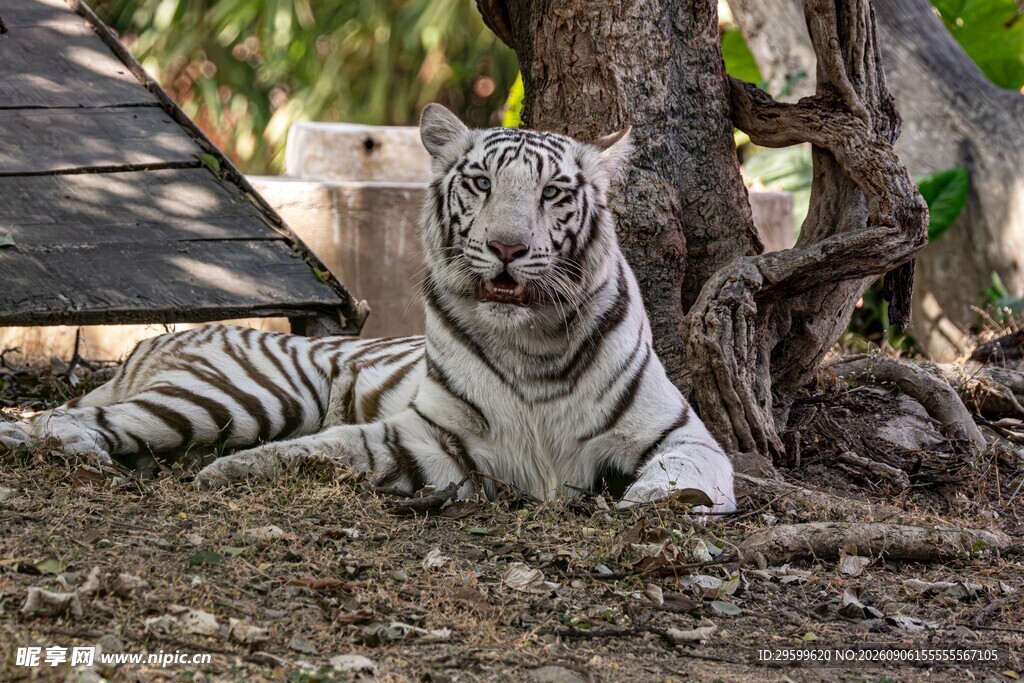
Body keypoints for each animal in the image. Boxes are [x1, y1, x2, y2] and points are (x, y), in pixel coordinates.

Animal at [0, 104, 735, 513]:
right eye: (480, 182)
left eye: (553, 192)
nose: (507, 247)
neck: (532, 346)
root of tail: (151, 342)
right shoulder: (432, 435)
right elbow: (331, 443)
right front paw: (228, 472)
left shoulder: (682, 434)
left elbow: (689, 472)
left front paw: (656, 501)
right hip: (242, 395)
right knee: (66, 420)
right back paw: (75, 449)